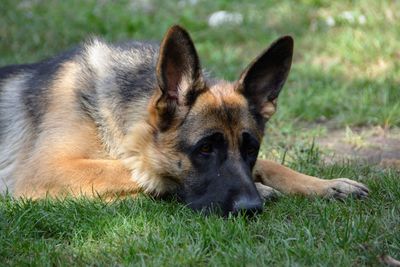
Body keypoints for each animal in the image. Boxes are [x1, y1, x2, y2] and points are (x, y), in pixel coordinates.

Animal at [0, 25, 368, 217]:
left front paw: (325, 185)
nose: (251, 207)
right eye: (204, 149)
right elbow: (141, 172)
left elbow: (272, 163)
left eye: (251, 148)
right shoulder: (46, 169)